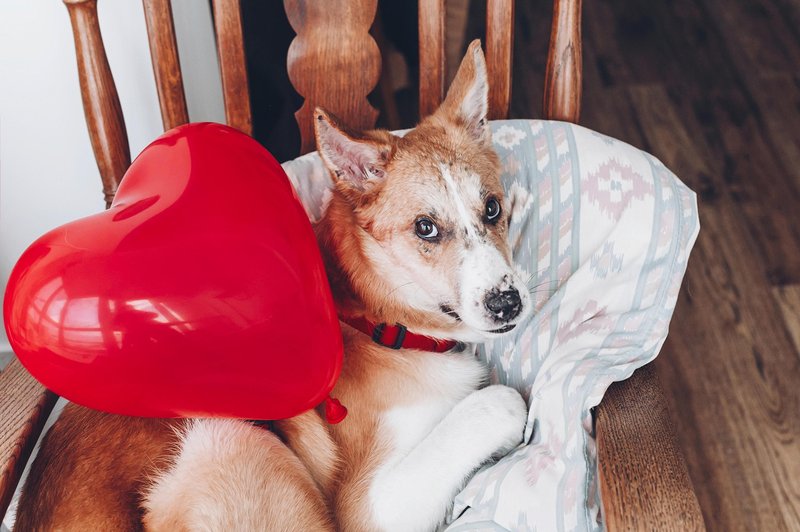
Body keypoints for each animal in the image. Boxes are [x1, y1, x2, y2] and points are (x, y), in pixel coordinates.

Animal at [15, 41, 532, 532]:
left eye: (491, 208)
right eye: (425, 228)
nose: (508, 304)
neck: (377, 320)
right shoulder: (369, 506)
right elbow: (499, 402)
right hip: (226, 439)